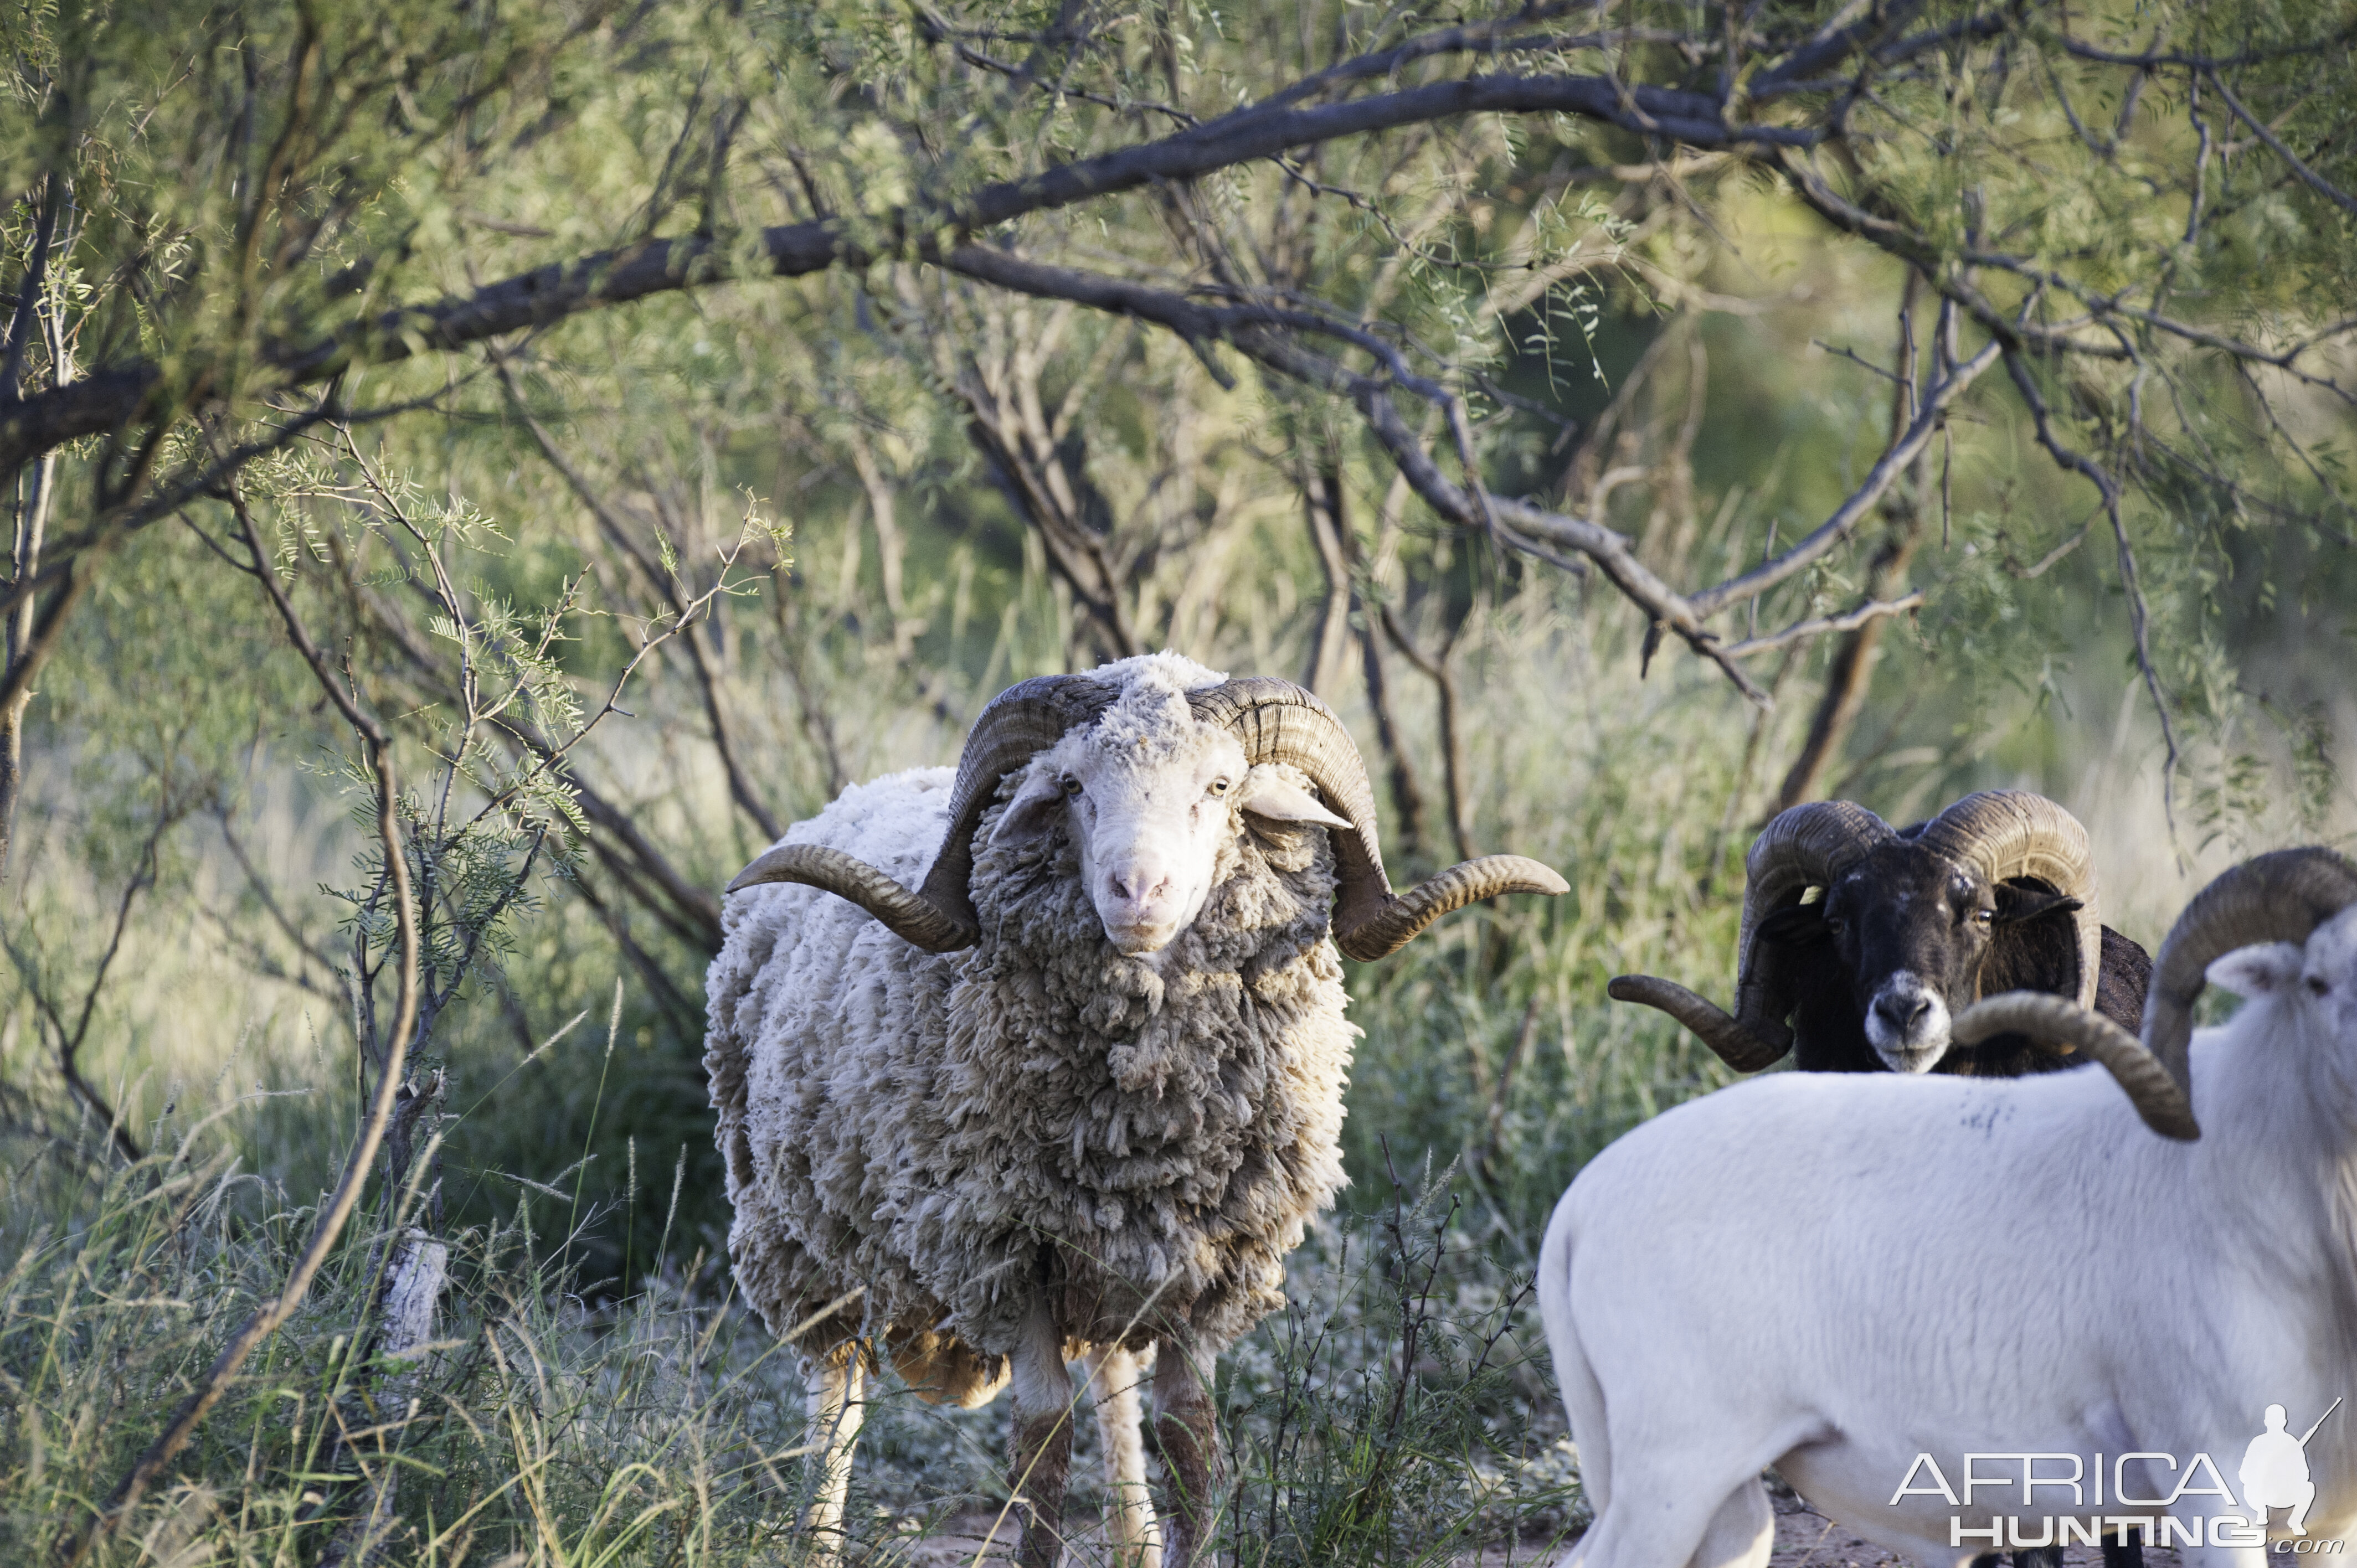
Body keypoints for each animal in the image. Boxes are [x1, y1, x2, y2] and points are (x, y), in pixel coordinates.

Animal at [712, 651, 1565, 1565]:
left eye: (1222, 785)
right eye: (1072, 786)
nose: (1137, 890)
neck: (1144, 1123)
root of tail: (865, 785)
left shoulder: (1202, 1259)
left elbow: (1188, 1436)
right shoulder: (1012, 1252)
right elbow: (1043, 1444)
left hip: (1107, 1263)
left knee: (1113, 1378)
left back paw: (1134, 1540)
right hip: (799, 1240)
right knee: (836, 1397)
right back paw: (816, 1538)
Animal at [1536, 849, 2357, 1565]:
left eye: (1979, 913)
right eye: (1837, 920)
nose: (1904, 1012)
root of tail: (1577, 1207)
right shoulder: (2207, 1482)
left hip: (1728, 1507)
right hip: (1673, 1471)